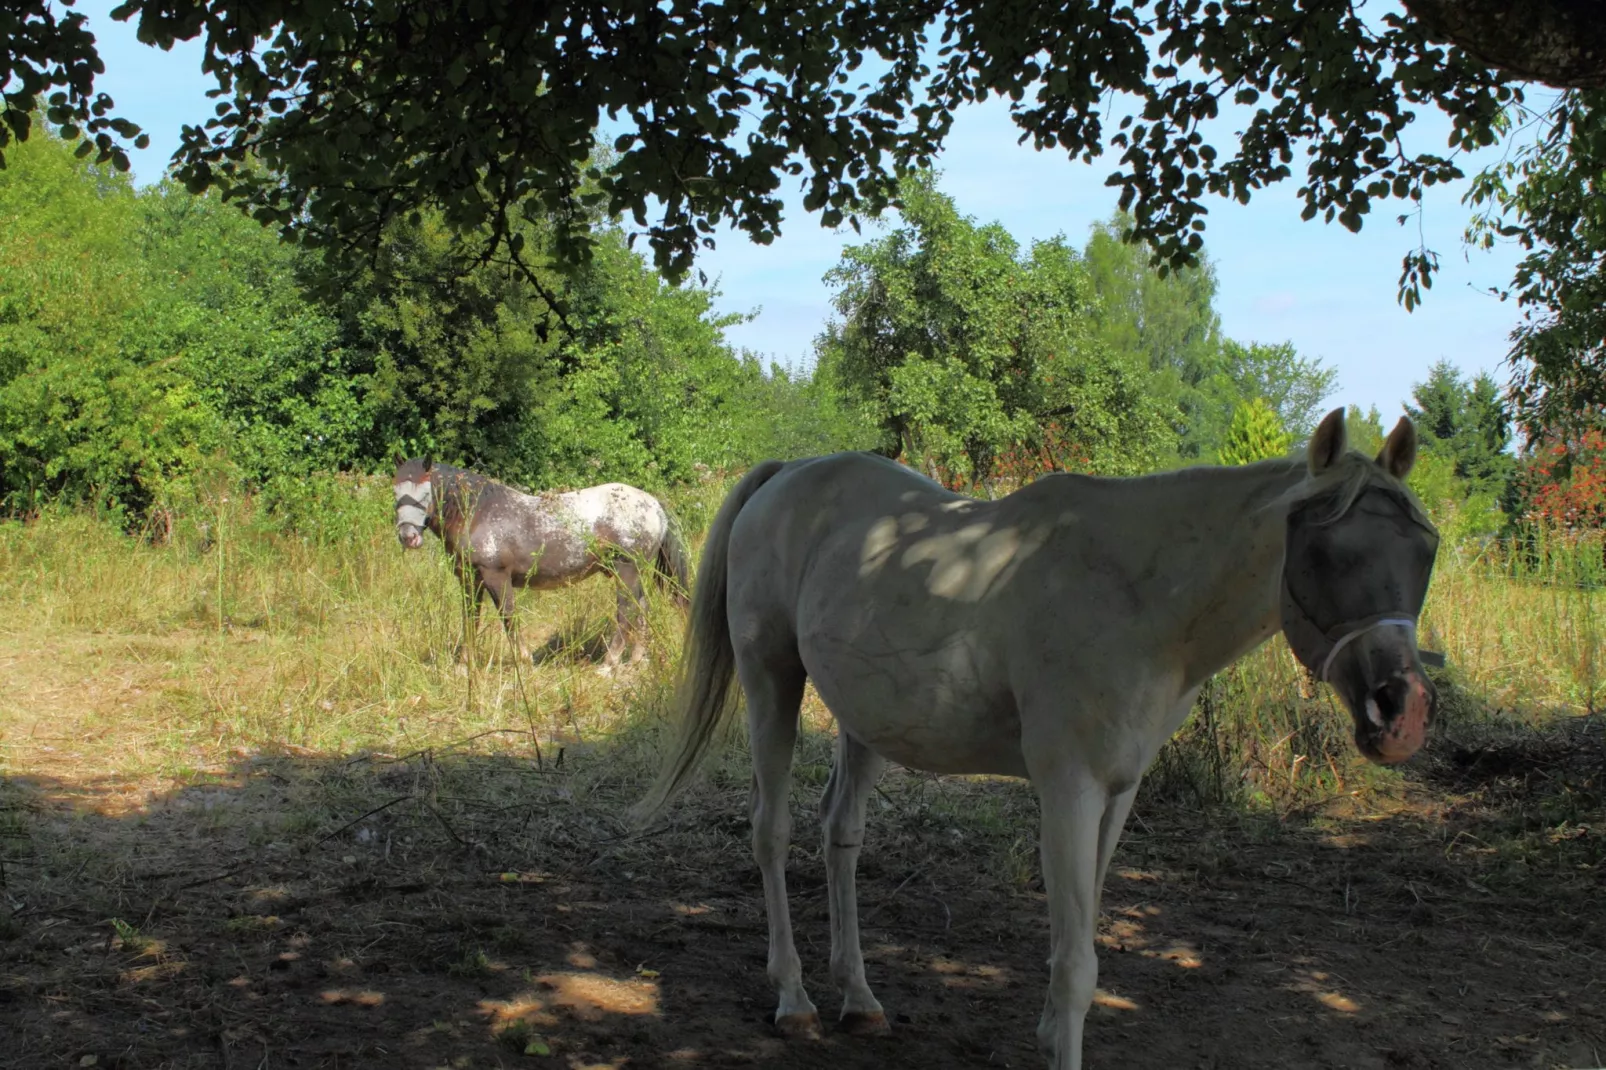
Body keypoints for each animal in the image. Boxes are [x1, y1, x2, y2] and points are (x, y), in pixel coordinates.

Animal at [395, 459, 690, 668]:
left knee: (626, 612)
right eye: (395, 490)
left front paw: (524, 660)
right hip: (634, 574)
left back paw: (609, 663)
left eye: (425, 492)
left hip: (626, 570)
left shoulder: (496, 577)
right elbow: (470, 619)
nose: (408, 536)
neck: (478, 513)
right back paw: (636, 659)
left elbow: (509, 618)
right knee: (642, 609)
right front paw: (464, 665)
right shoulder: (470, 580)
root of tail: (654, 504)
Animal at [635, 404, 1445, 1060]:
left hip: (864, 718)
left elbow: (1080, 950)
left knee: (841, 834)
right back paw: (795, 998)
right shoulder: (1069, 791)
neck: (1135, 597)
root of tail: (786, 477)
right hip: (771, 680)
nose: (1399, 713)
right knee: (770, 831)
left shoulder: (1117, 793)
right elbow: (1076, 965)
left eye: (1424, 550)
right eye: (1324, 551)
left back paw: (858, 999)